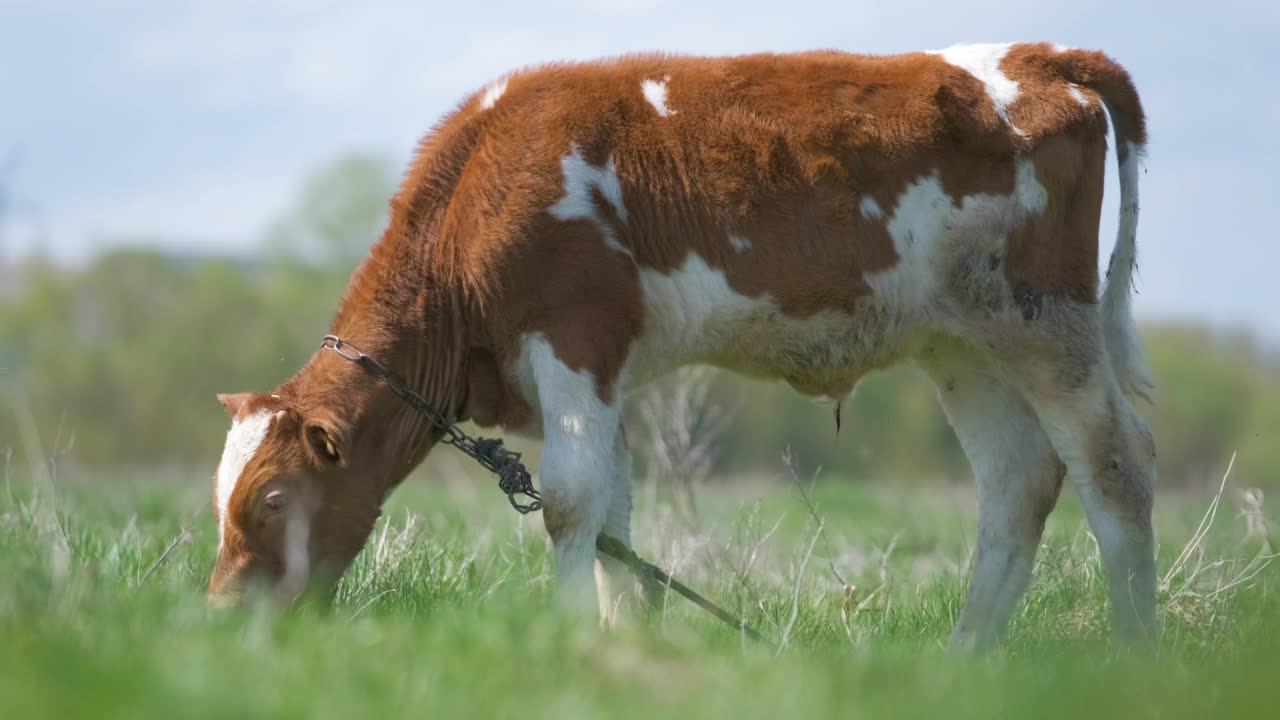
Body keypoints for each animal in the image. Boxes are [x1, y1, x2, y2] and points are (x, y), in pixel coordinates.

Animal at [207, 43, 1162, 650]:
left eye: (274, 500)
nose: (217, 612)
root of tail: (1044, 54)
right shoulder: (605, 378)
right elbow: (615, 520)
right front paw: (620, 643)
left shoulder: (576, 338)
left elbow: (569, 503)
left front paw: (563, 639)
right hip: (962, 347)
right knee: (1018, 482)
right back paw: (966, 658)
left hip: (1047, 323)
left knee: (1115, 465)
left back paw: (1133, 656)